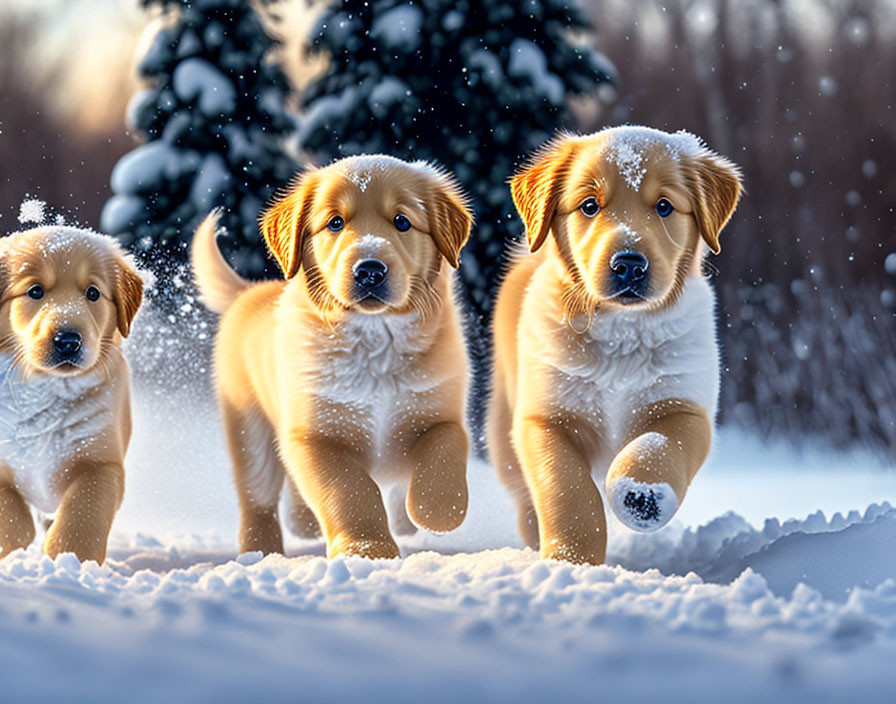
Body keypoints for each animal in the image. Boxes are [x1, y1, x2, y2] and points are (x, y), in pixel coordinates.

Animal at [0, 228, 142, 564]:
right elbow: (12, 517)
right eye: (35, 291)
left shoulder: (101, 462)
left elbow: (83, 512)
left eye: (93, 293)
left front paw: (71, 559)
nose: (68, 341)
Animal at [194, 155, 476, 560]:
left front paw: (433, 512)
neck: (375, 341)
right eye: (335, 223)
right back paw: (260, 551)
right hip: (249, 428)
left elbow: (445, 453)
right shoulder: (316, 434)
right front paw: (366, 548)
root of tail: (250, 291)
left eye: (402, 221)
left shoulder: (439, 410)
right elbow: (350, 491)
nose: (370, 271)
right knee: (257, 496)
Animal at [486, 126, 744, 564]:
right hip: (503, 432)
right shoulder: (545, 418)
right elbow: (567, 488)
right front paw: (572, 559)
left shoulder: (685, 406)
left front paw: (642, 494)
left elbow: (660, 445)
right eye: (589, 205)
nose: (629, 265)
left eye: (664, 206)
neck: (622, 335)